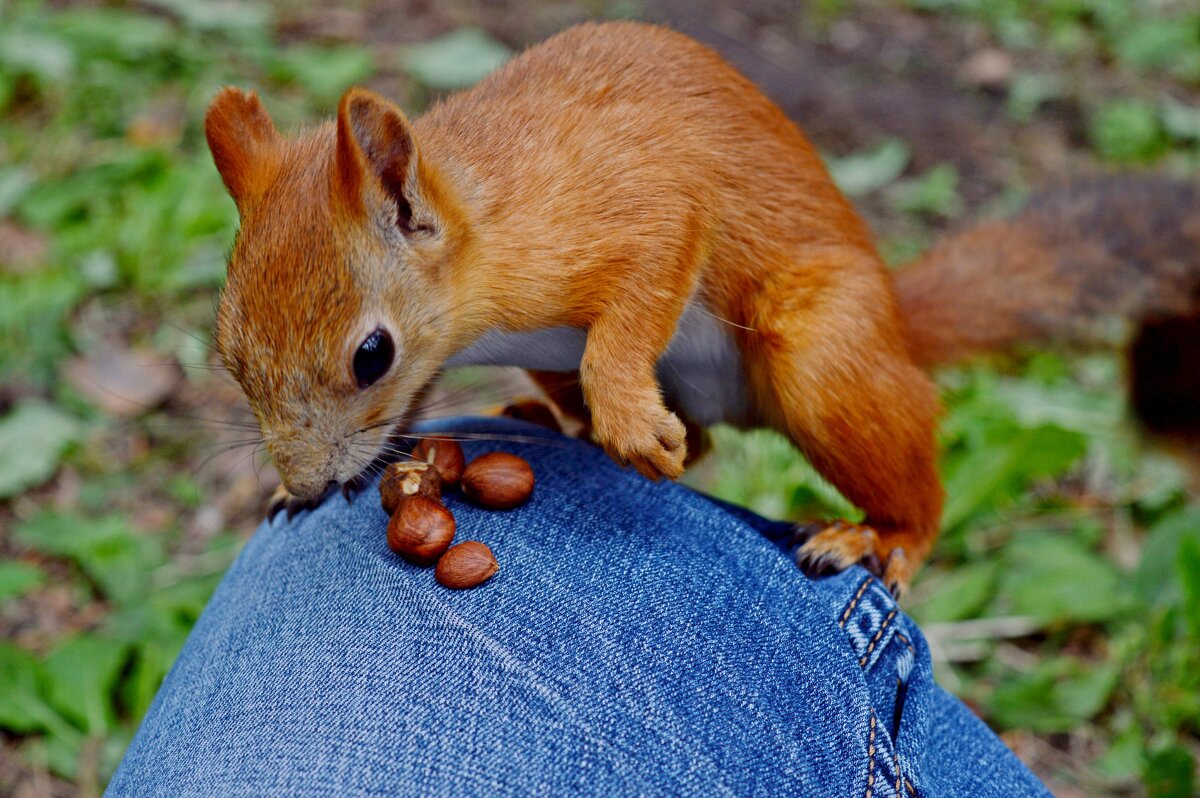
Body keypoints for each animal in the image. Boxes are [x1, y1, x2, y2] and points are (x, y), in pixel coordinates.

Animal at [204, 20, 1200, 590]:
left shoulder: (631, 214)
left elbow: (642, 290)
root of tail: (895, 317)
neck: (488, 217)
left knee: (914, 493)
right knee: (708, 439)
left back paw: (881, 539)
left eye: (371, 354)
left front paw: (626, 418)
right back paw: (552, 416)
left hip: (823, 356)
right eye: (229, 353)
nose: (306, 485)